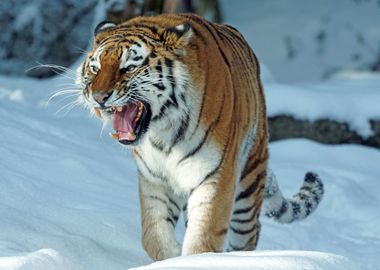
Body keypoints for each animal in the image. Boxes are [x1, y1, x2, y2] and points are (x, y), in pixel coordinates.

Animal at [76, 13, 324, 260]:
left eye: (129, 67)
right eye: (95, 68)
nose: (99, 97)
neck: (162, 132)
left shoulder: (215, 176)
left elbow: (203, 238)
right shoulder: (155, 180)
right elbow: (153, 236)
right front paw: (173, 256)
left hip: (250, 179)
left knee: (249, 233)